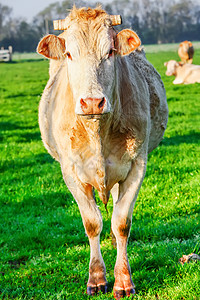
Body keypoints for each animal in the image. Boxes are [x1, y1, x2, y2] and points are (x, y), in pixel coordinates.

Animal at [36, 5, 168, 298]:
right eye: (70, 54)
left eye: (110, 52)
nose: (92, 102)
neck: (97, 131)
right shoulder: (70, 171)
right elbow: (92, 222)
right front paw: (96, 278)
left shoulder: (137, 165)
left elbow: (121, 222)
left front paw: (123, 280)